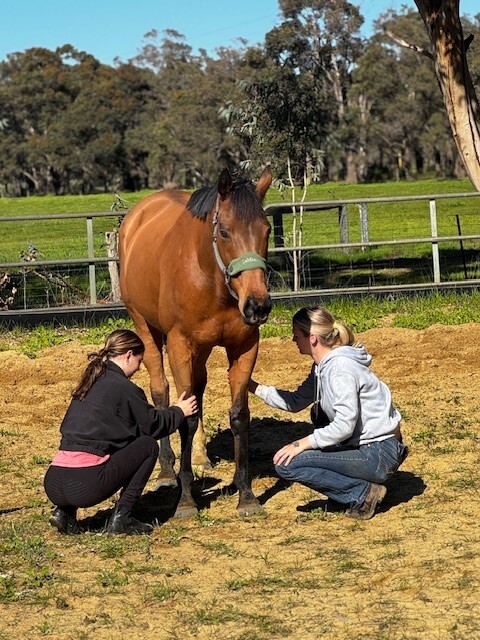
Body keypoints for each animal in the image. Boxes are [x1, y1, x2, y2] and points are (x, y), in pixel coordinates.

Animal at [119, 167, 273, 517]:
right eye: (225, 232)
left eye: (267, 230)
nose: (257, 305)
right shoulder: (179, 345)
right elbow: (184, 417)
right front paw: (186, 499)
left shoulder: (245, 346)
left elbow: (239, 415)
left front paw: (246, 495)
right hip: (145, 326)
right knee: (161, 390)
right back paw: (166, 470)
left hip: (201, 350)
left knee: (198, 391)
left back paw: (201, 457)